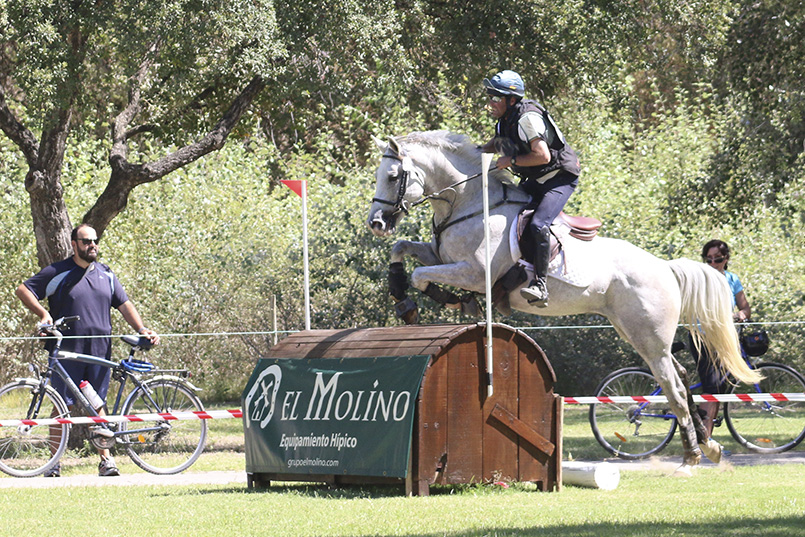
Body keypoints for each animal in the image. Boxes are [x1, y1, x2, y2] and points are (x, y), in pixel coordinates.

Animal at [368, 130, 756, 474]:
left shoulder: (474, 273)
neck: (470, 204)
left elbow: (422, 276)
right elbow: (401, 248)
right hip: (637, 332)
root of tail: (665, 267)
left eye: (392, 176)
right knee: (680, 376)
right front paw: (401, 293)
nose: (376, 223)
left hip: (649, 334)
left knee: (673, 387)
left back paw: (691, 458)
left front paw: (439, 301)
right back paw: (710, 446)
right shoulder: (439, 256)